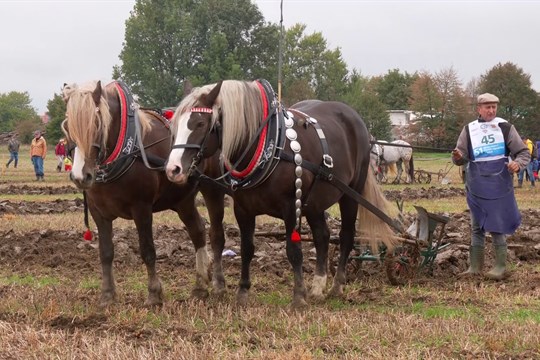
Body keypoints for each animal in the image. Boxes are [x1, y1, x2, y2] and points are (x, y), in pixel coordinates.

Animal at [62, 80, 227, 306]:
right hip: (182, 199)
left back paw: (216, 283)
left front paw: (154, 294)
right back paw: (200, 286)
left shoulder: (142, 208)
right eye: (68, 127)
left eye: (97, 124)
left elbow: (148, 250)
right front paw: (107, 295)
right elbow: (106, 252)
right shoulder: (98, 212)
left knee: (215, 234)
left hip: (213, 189)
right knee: (198, 231)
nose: (80, 176)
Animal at [165, 80, 396, 308]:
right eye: (174, 125)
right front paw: (242, 292)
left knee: (346, 236)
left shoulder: (291, 206)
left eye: (200, 124)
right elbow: (247, 249)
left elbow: (293, 250)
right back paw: (317, 287)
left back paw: (336, 286)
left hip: (351, 192)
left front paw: (299, 297)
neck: (269, 145)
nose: (173, 169)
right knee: (322, 236)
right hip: (314, 202)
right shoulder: (242, 208)